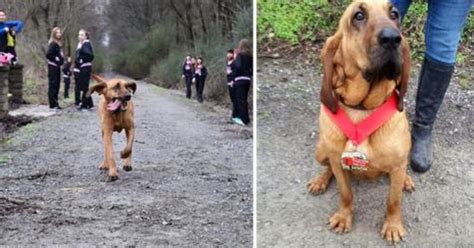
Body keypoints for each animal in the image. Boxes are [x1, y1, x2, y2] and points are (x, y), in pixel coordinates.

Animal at [308, 0, 414, 244]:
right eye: (358, 15)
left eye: (394, 14)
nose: (393, 38)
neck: (362, 108)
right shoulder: (337, 160)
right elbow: (345, 193)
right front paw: (343, 217)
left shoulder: (397, 164)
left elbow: (393, 201)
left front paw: (393, 226)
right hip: (321, 150)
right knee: (327, 168)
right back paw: (320, 180)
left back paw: (406, 179)